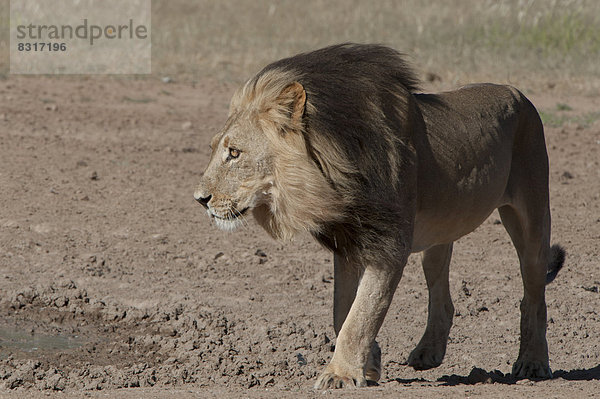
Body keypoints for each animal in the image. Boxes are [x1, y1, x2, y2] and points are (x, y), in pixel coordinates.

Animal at [195, 44, 564, 390]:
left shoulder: (389, 244)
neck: (333, 185)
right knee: (441, 294)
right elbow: (343, 310)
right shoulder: (348, 244)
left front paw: (340, 374)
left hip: (532, 219)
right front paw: (368, 364)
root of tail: (519, 94)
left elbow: (362, 312)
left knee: (534, 296)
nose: (200, 199)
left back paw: (533, 363)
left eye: (234, 153)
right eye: (215, 148)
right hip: (439, 235)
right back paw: (428, 353)